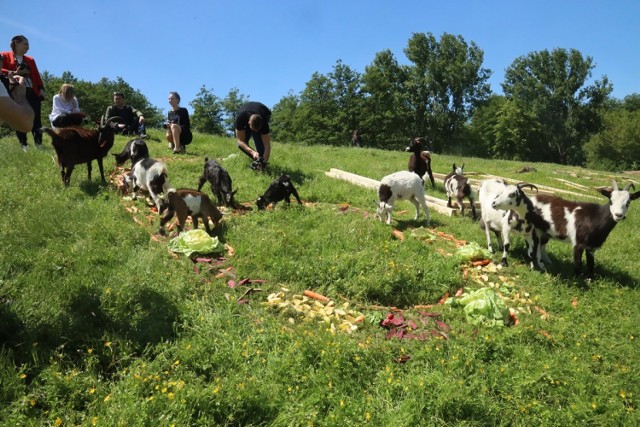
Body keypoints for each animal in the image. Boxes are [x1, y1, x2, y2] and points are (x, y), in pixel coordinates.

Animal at [492, 180, 636, 278]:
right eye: (611, 200)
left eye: (628, 202)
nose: (618, 215)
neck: (595, 217)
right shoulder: (578, 243)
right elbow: (578, 263)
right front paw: (577, 279)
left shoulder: (592, 247)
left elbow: (591, 264)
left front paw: (590, 279)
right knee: (536, 246)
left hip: (543, 231)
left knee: (540, 245)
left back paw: (545, 262)